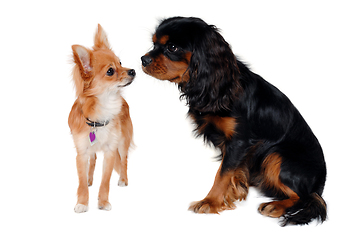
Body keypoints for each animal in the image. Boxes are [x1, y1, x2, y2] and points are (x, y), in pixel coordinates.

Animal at [68, 23, 134, 212]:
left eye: (120, 62)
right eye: (110, 71)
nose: (133, 71)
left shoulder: (111, 151)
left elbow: (105, 181)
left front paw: (103, 202)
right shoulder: (81, 153)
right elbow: (81, 182)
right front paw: (82, 203)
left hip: (123, 142)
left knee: (124, 160)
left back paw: (123, 179)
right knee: (93, 160)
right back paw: (90, 179)